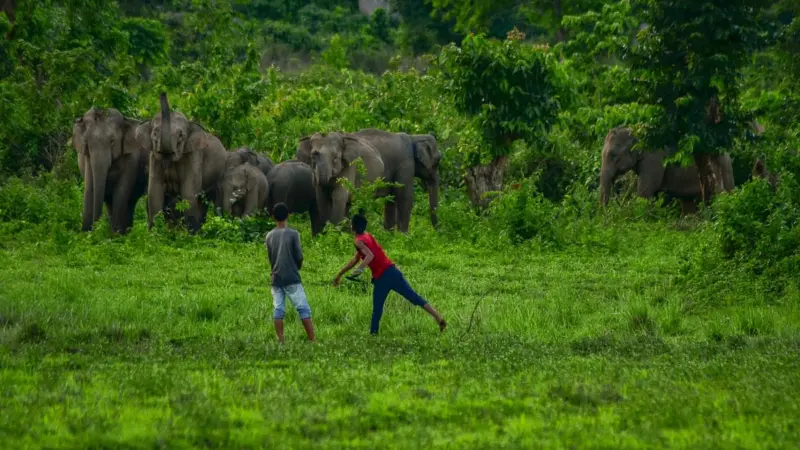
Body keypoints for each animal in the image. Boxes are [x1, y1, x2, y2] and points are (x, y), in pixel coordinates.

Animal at [136, 93, 228, 233]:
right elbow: (154, 192)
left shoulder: (192, 156)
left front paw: (191, 235)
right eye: (155, 134)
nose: (163, 93)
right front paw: (154, 234)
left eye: (181, 136)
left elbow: (188, 193)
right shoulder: (154, 159)